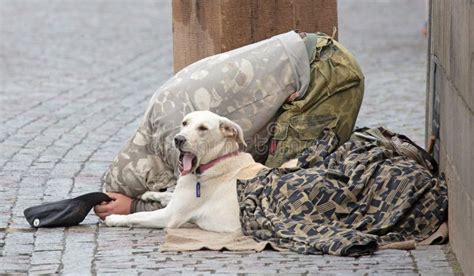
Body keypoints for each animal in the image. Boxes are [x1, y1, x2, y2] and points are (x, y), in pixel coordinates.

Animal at [104, 111, 266, 232]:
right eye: (184, 123)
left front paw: (115, 218)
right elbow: (167, 195)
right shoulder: (176, 201)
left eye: (203, 128)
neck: (214, 162)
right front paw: (148, 194)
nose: (178, 139)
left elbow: (138, 215)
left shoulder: (170, 215)